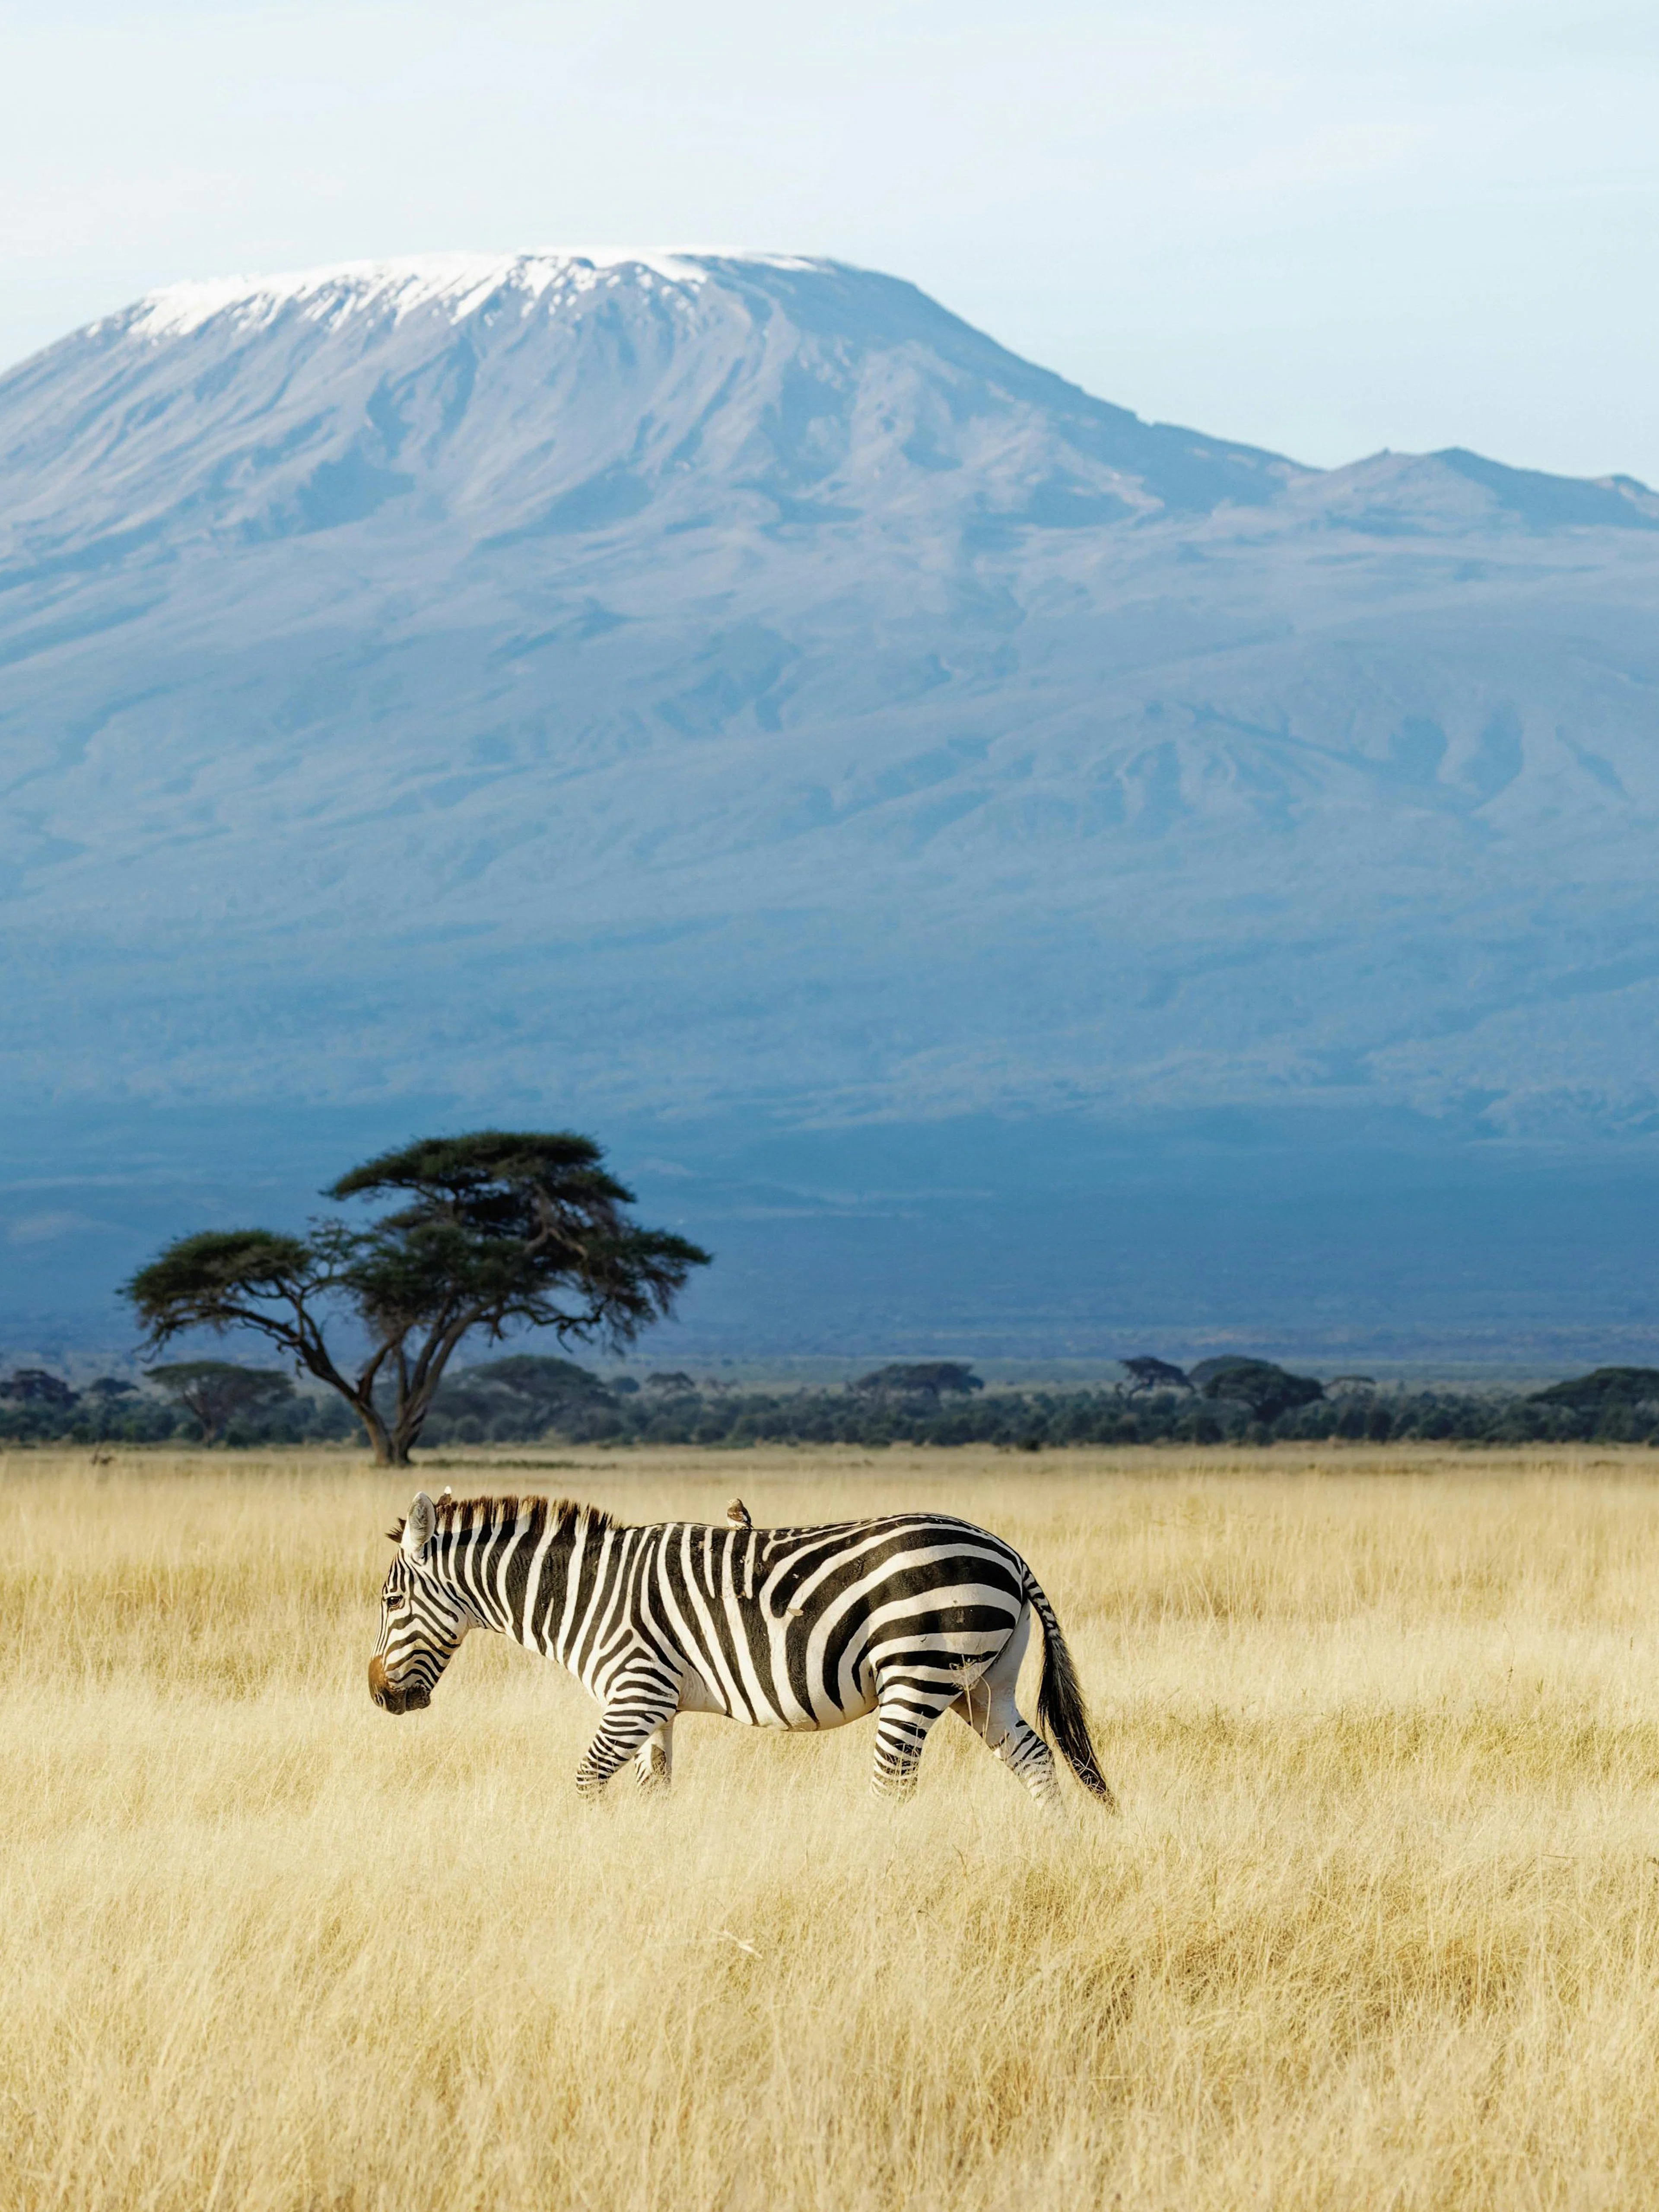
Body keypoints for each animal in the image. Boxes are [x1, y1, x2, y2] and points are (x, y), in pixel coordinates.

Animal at [369, 1491, 1115, 1808]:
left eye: (390, 1602)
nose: (379, 1695)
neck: (584, 1593)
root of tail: (1007, 1551)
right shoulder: (655, 1706)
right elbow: (655, 1789)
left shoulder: (634, 1694)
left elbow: (585, 1782)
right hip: (982, 1682)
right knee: (1035, 1758)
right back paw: (1049, 1849)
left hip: (918, 1671)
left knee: (894, 1784)